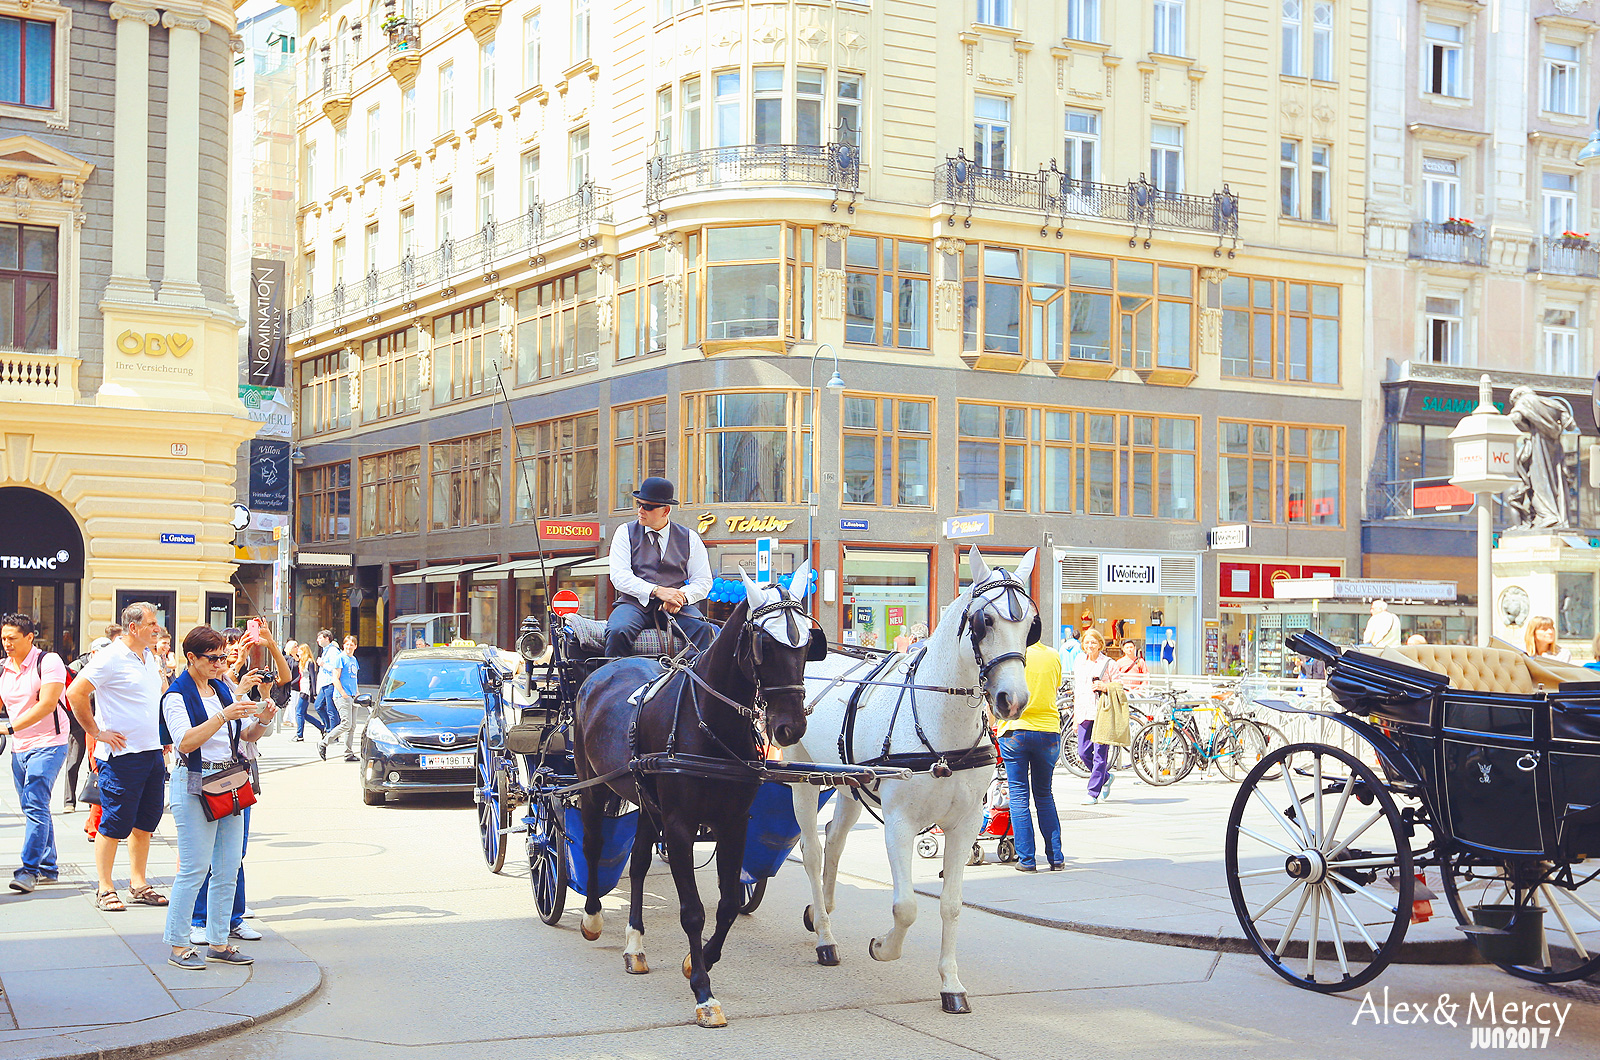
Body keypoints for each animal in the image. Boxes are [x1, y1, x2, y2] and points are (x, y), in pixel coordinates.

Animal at [572, 563, 819, 1031]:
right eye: (764, 645)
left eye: (806, 646)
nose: (790, 728)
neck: (710, 722)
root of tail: (604, 670)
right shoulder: (681, 826)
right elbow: (693, 910)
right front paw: (704, 992)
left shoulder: (734, 823)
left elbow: (727, 905)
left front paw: (698, 959)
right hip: (590, 781)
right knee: (593, 844)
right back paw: (592, 916)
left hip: (647, 802)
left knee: (638, 864)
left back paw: (635, 945)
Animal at [787, 547, 1036, 1011]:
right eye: (985, 621)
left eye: (1031, 624)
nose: (1013, 700)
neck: (942, 725)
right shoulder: (900, 823)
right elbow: (905, 906)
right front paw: (883, 948)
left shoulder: (965, 825)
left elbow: (952, 905)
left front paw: (951, 984)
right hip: (800, 774)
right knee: (812, 851)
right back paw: (826, 938)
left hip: (850, 781)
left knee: (836, 838)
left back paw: (821, 909)